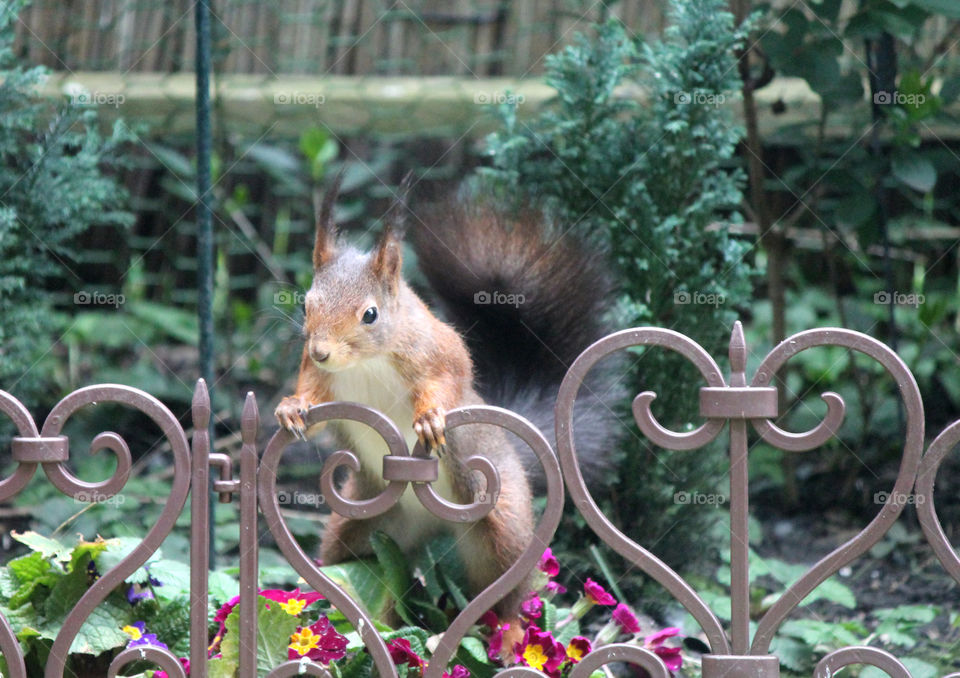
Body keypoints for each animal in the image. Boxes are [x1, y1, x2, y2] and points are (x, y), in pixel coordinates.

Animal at [275, 175, 621, 648]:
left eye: (370, 314)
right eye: (305, 305)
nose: (321, 350)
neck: (365, 362)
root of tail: (431, 524)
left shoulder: (437, 352)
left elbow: (449, 379)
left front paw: (430, 418)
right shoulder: (320, 377)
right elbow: (311, 398)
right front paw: (292, 407)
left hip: (501, 522)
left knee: (510, 591)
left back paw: (509, 635)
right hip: (362, 525)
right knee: (359, 567)